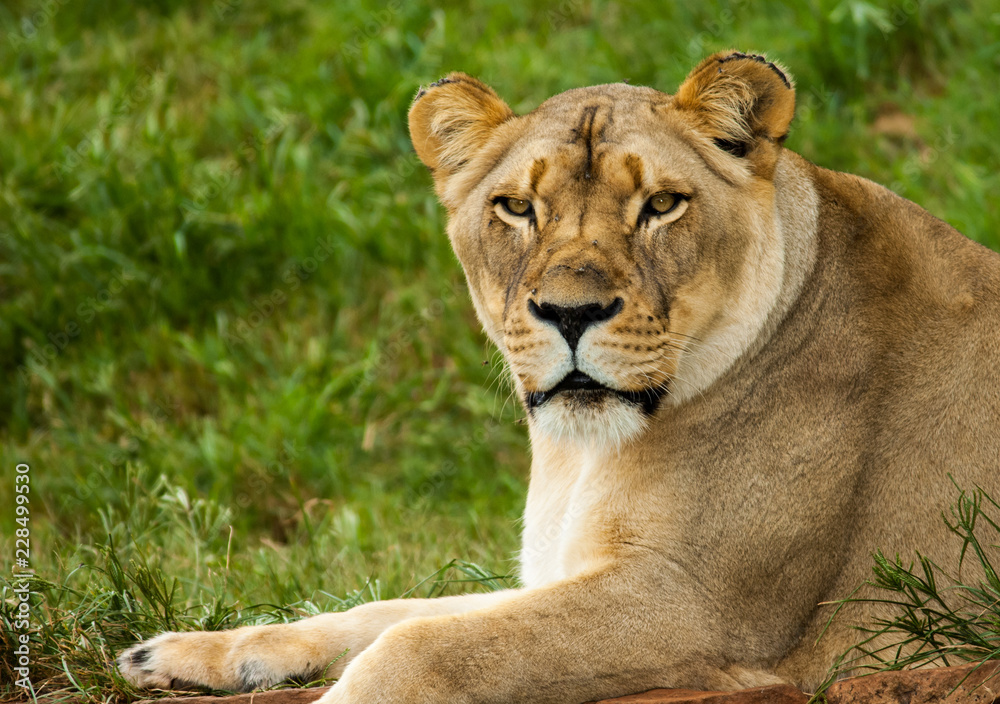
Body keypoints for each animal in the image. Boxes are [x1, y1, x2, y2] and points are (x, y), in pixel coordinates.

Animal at [118, 51, 1000, 703]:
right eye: (515, 208)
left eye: (662, 204)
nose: (569, 313)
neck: (583, 454)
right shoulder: (560, 573)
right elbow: (387, 610)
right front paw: (198, 650)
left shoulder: (697, 607)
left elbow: (419, 645)